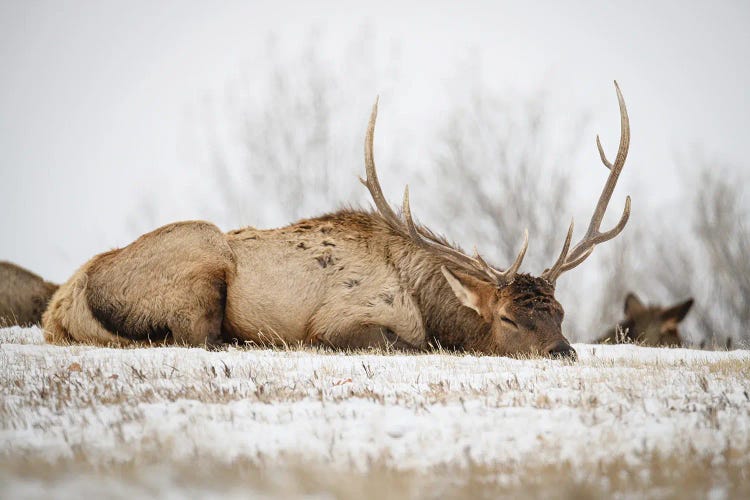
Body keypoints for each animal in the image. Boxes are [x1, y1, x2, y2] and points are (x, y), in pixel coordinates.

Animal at [42, 82, 636, 358]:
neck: (425, 302)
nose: (563, 352)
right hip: (201, 257)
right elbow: (398, 343)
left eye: (560, 312)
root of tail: (62, 304)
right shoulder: (342, 318)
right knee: (198, 336)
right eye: (510, 319)